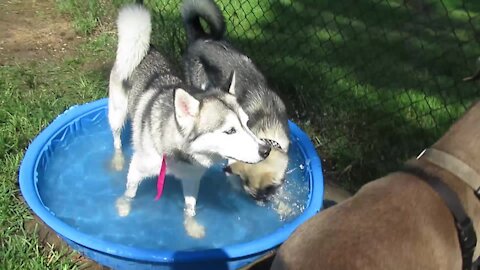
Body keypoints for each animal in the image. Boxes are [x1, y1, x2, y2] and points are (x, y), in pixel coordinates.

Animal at [109, 3, 272, 236]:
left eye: (246, 123)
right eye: (230, 130)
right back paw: (117, 158)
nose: (266, 150)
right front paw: (124, 207)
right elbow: (129, 193)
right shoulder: (137, 169)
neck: (179, 156)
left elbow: (190, 208)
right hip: (117, 113)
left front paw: (191, 226)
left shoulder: (191, 179)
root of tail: (147, 47)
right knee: (115, 139)